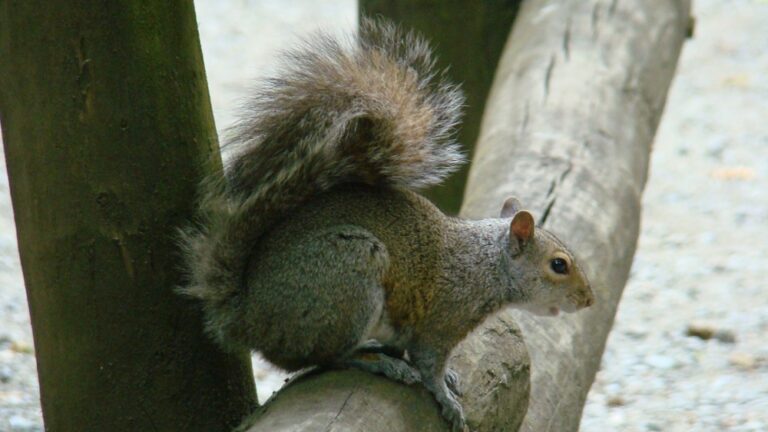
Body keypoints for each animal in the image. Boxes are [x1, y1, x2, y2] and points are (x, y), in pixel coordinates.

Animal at [180, 19, 595, 432]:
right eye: (559, 265)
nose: (589, 300)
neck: (485, 265)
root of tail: (247, 315)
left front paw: (446, 379)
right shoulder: (441, 321)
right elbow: (427, 363)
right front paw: (446, 399)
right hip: (348, 274)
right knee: (324, 357)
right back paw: (375, 361)